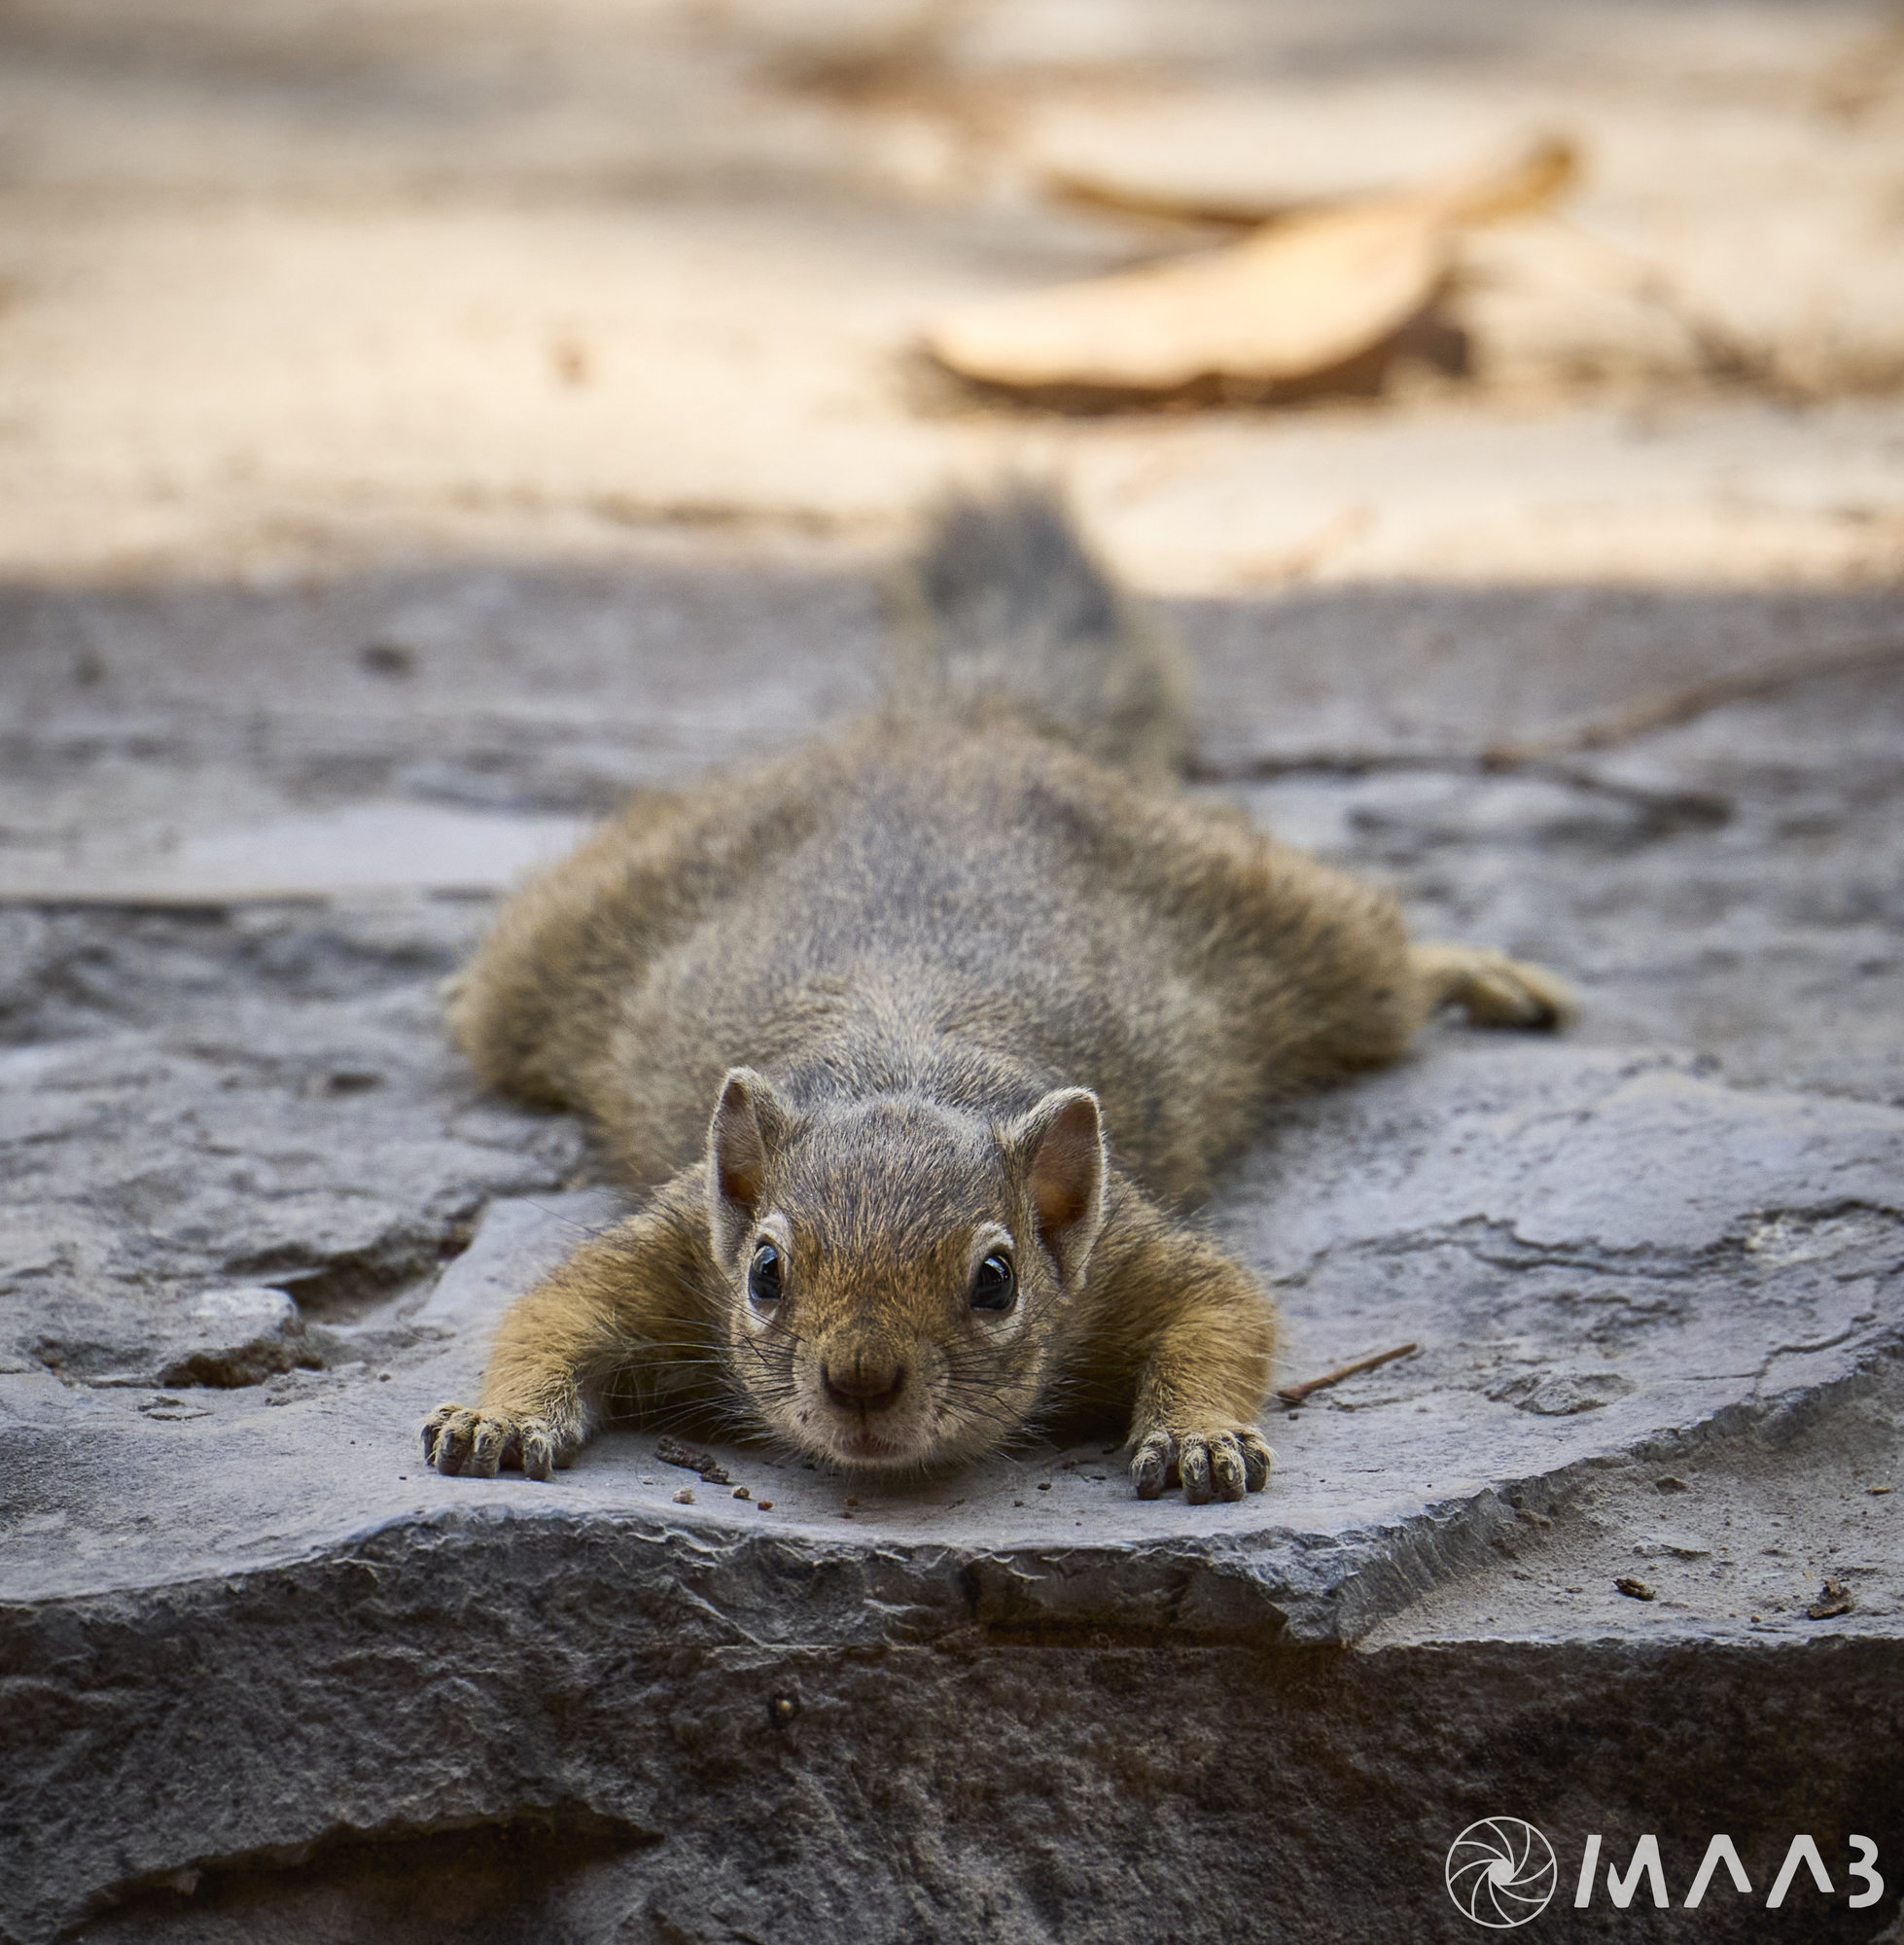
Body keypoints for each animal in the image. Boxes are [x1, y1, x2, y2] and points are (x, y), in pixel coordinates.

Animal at [424, 485, 1573, 1503]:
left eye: (996, 1279)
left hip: (1291, 926)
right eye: (762, 1271)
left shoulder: (1121, 1245)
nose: (861, 1381)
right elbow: (552, 1309)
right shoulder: (675, 1237)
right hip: (562, 946)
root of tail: (954, 724)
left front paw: (1200, 1435)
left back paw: (1476, 972)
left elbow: (1224, 1312)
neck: (903, 1064)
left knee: (1383, 964)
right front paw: (498, 1415)